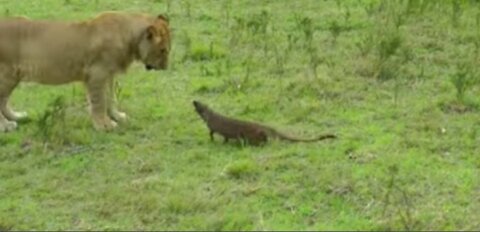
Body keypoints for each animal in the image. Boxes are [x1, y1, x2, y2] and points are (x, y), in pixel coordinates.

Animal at [0, 11, 171, 131]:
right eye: (163, 50)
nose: (166, 67)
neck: (128, 36)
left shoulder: (109, 75)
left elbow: (111, 98)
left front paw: (117, 116)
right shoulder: (97, 75)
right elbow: (99, 101)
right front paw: (104, 125)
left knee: (4, 101)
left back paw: (17, 117)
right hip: (7, 76)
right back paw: (6, 126)